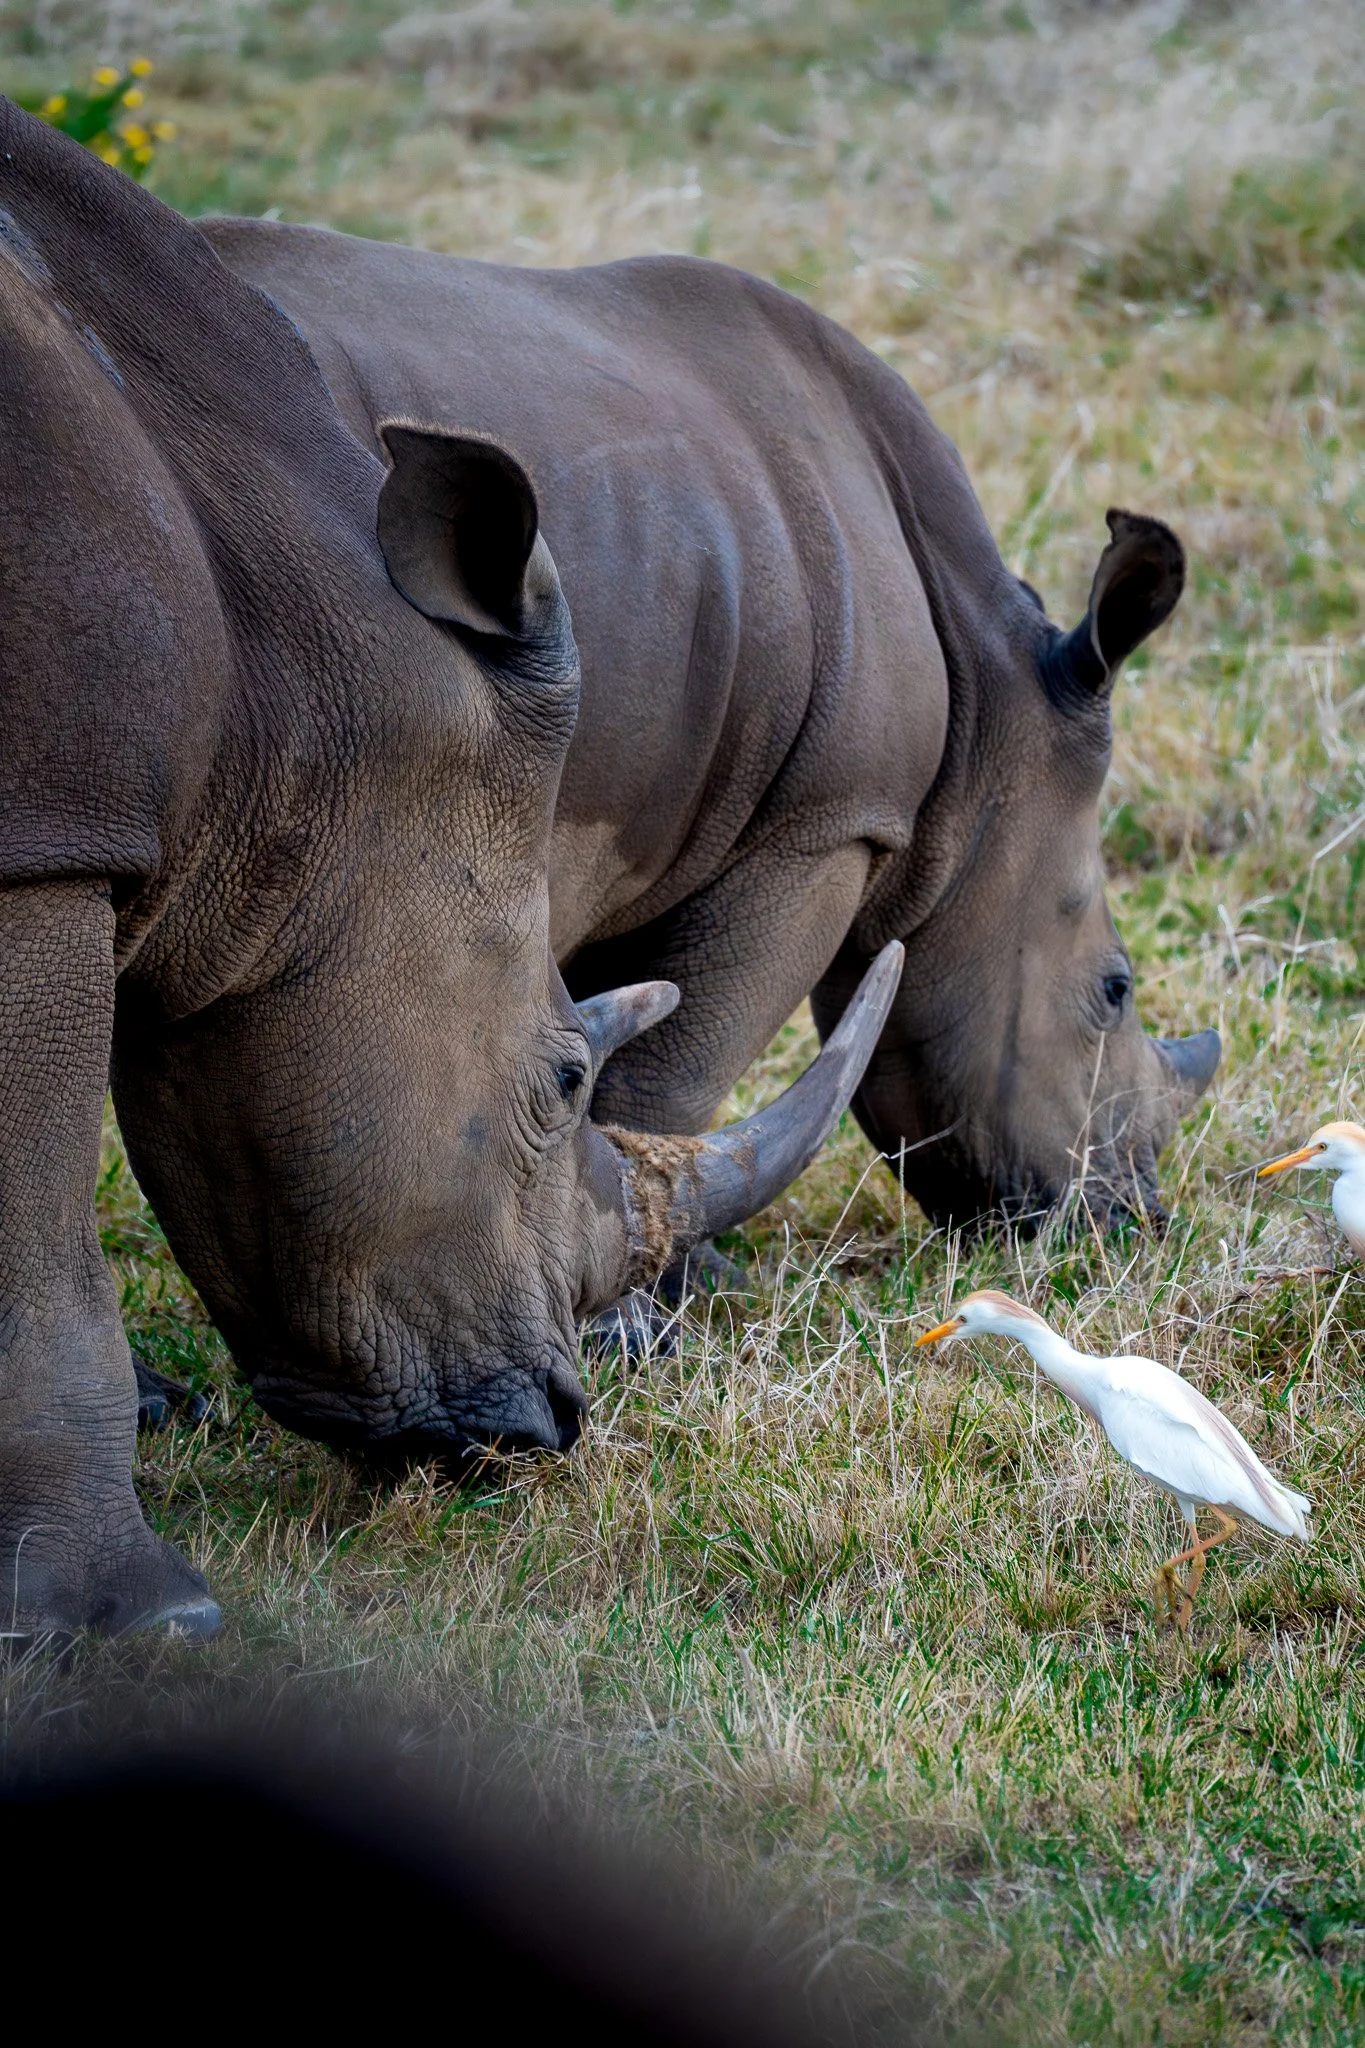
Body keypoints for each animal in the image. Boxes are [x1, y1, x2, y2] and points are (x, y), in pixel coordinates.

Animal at [0, 104, 900, 1637]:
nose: (549, 1425)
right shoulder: (44, 841)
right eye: (559, 1078)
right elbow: (35, 1246)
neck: (295, 679)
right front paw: (140, 1622)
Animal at [206, 223, 1220, 1260]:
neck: (989, 718)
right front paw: (667, 1293)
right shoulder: (823, 826)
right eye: (1114, 989)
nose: (1133, 1221)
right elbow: (673, 1072)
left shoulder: (637, 819)